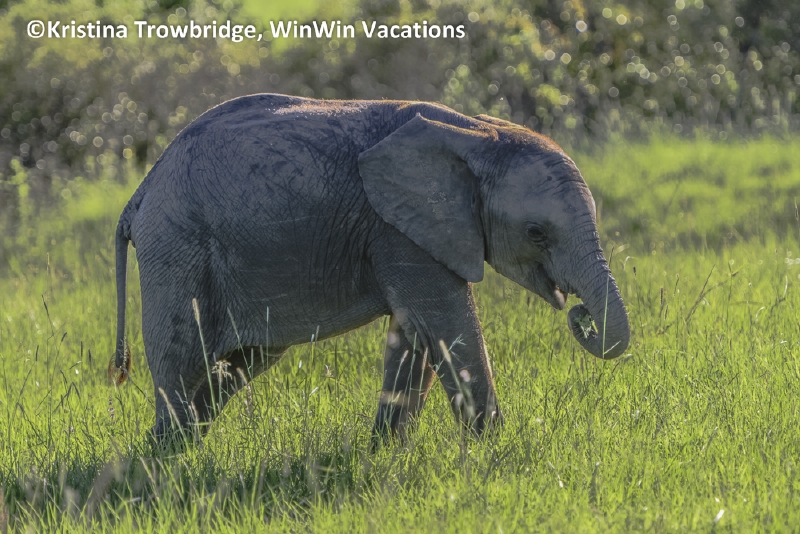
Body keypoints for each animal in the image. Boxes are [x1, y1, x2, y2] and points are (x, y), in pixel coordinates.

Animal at [111, 93, 630, 443]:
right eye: (537, 233)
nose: (581, 315)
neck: (477, 132)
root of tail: (142, 189)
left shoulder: (409, 230)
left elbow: (415, 335)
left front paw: (385, 451)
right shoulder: (398, 229)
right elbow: (448, 325)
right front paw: (491, 450)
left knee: (242, 361)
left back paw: (173, 448)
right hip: (177, 247)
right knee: (182, 357)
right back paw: (166, 460)